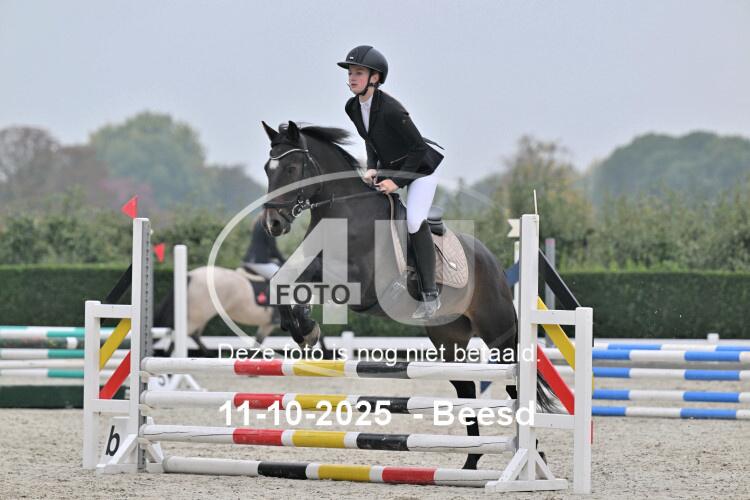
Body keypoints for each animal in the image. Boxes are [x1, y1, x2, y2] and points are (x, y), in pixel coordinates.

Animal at [260, 120, 556, 470]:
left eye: (292, 168)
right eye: (267, 169)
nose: (273, 223)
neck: (344, 212)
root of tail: (491, 260)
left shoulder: (359, 284)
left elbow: (313, 282)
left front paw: (306, 326)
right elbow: (283, 281)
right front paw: (299, 327)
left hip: (497, 332)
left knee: (513, 386)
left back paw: (534, 454)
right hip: (448, 338)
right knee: (466, 387)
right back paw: (471, 461)